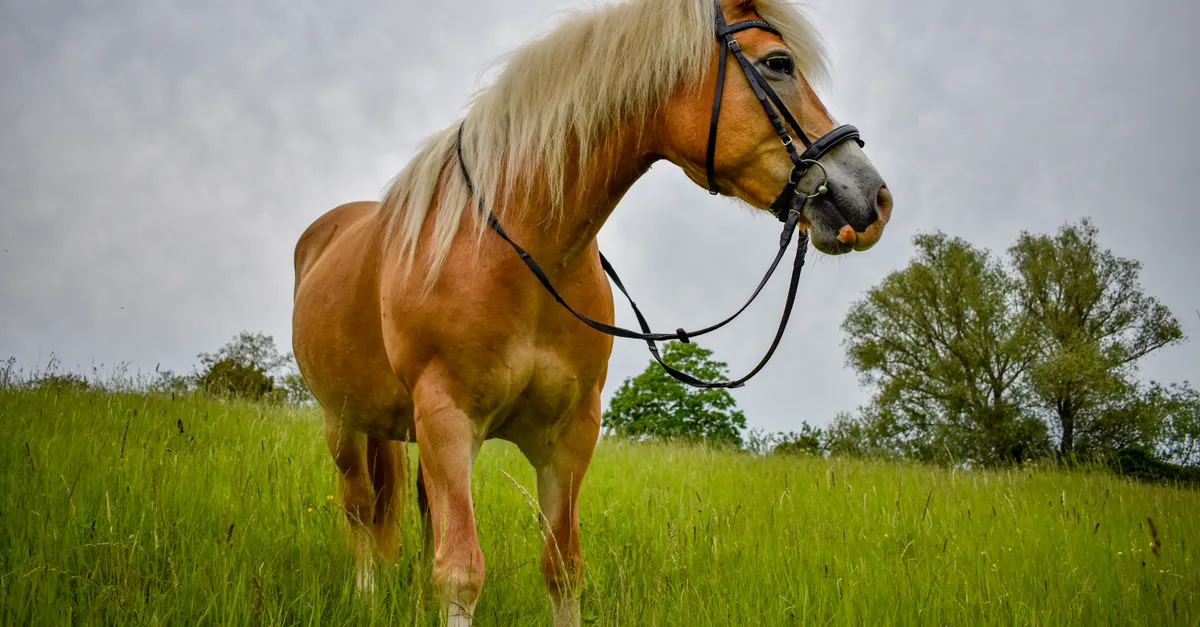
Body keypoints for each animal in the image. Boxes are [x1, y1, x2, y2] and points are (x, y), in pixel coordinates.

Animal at [291, 0, 891, 624]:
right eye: (779, 63)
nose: (874, 198)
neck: (512, 248)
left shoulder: (569, 434)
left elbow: (562, 567)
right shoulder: (446, 419)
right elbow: (459, 571)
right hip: (343, 423)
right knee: (360, 507)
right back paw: (366, 592)